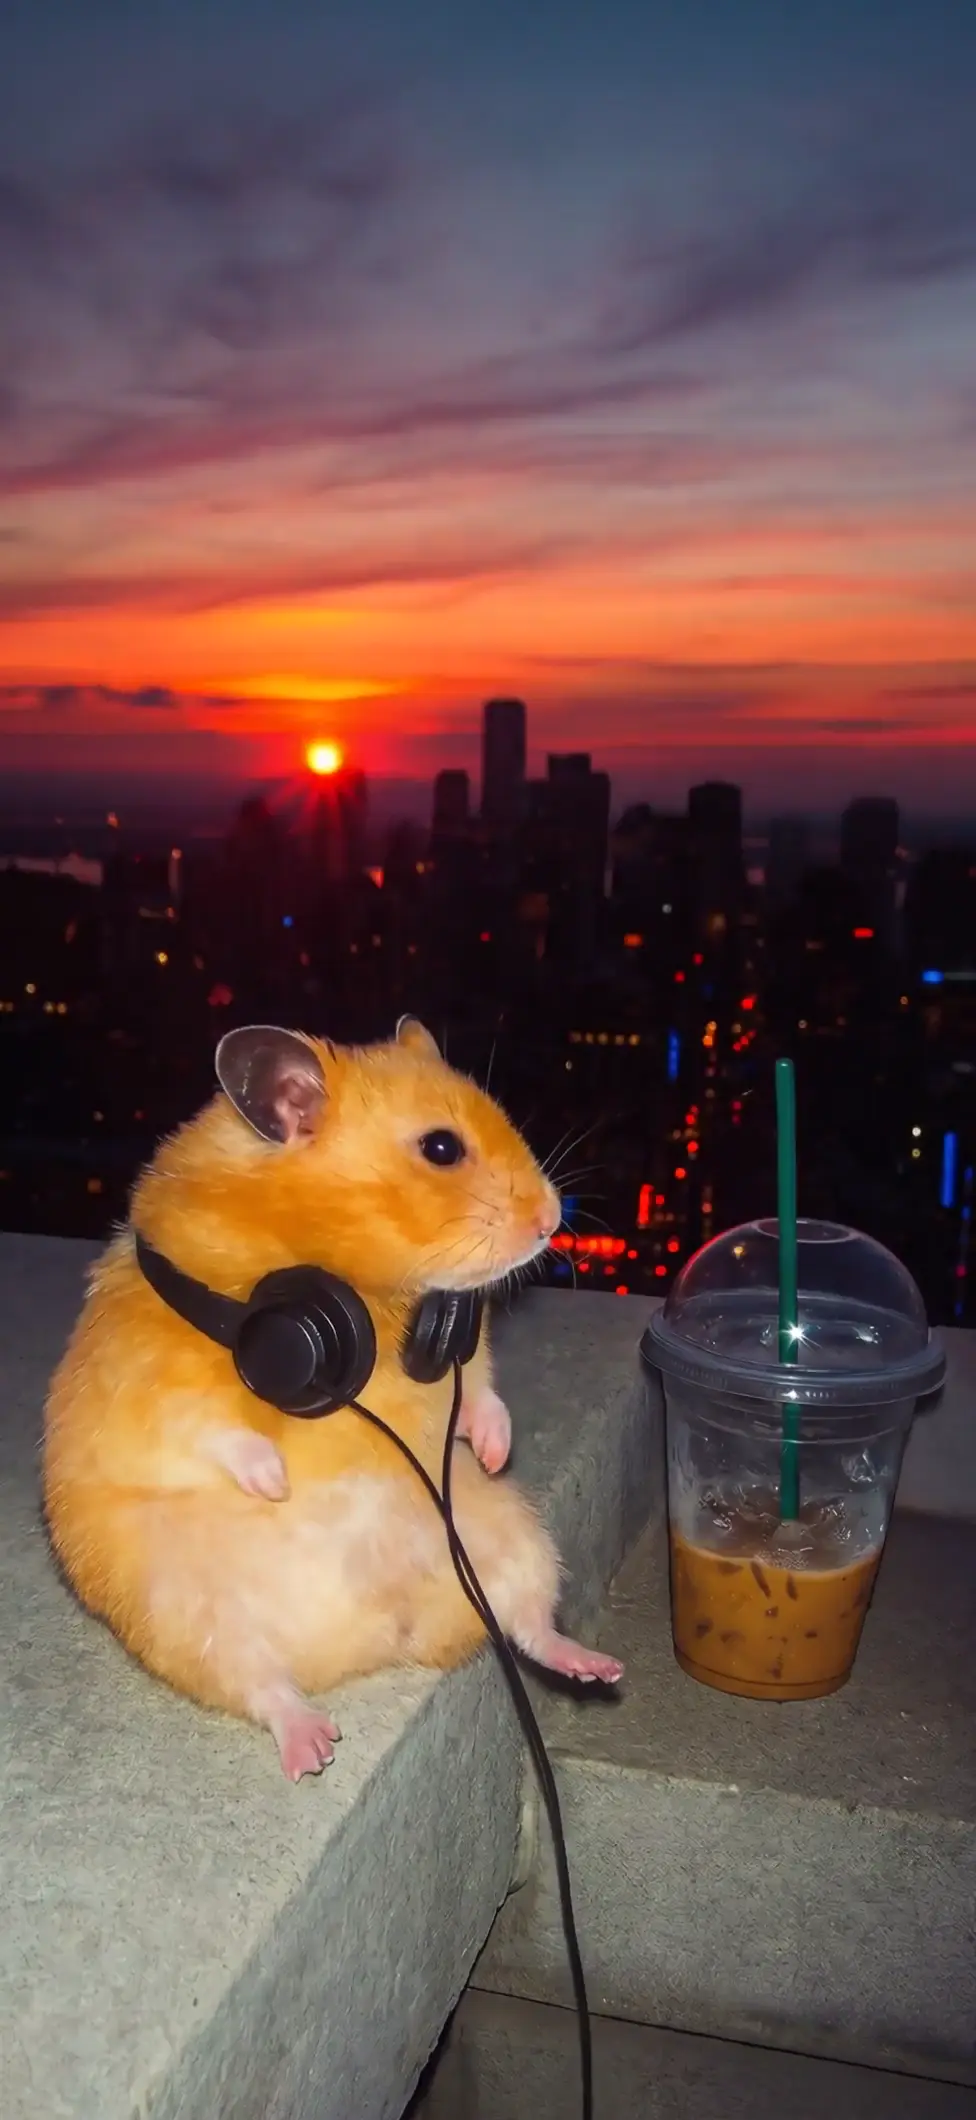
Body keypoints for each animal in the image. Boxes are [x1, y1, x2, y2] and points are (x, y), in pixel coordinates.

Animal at [43, 1016, 623, 1780]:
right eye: (442, 1148)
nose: (552, 1219)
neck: (359, 1290)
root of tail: (366, 1645)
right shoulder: (147, 1375)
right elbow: (211, 1426)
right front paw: (275, 1482)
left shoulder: (465, 1352)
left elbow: (482, 1390)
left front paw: (495, 1448)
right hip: (183, 1611)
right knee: (264, 1686)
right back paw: (312, 1748)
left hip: (508, 1535)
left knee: (528, 1623)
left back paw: (596, 1665)